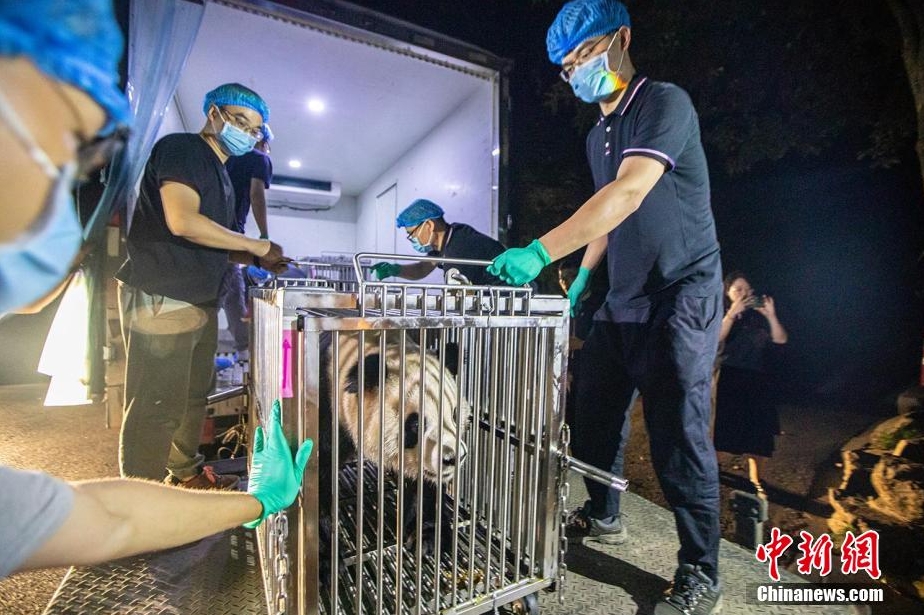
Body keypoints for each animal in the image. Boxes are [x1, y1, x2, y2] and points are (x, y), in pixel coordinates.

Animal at [318, 332, 476, 588]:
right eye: (416, 423)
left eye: (454, 414)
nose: (453, 457)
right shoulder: (325, 406)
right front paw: (326, 563)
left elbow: (423, 484)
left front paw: (427, 537)